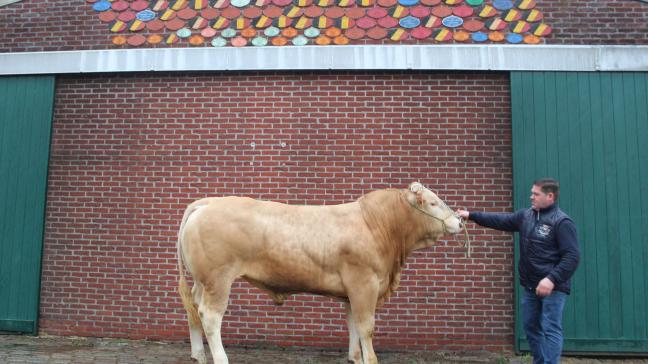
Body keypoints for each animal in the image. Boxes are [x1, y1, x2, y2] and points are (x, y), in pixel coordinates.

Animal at [175, 183, 464, 364]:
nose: (460, 221)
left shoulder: (352, 290)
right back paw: (220, 358)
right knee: (210, 316)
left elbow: (352, 324)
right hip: (218, 279)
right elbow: (366, 327)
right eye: (433, 202)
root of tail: (208, 202)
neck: (376, 224)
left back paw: (198, 355)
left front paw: (354, 358)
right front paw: (370, 359)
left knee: (194, 308)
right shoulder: (365, 283)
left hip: (203, 281)